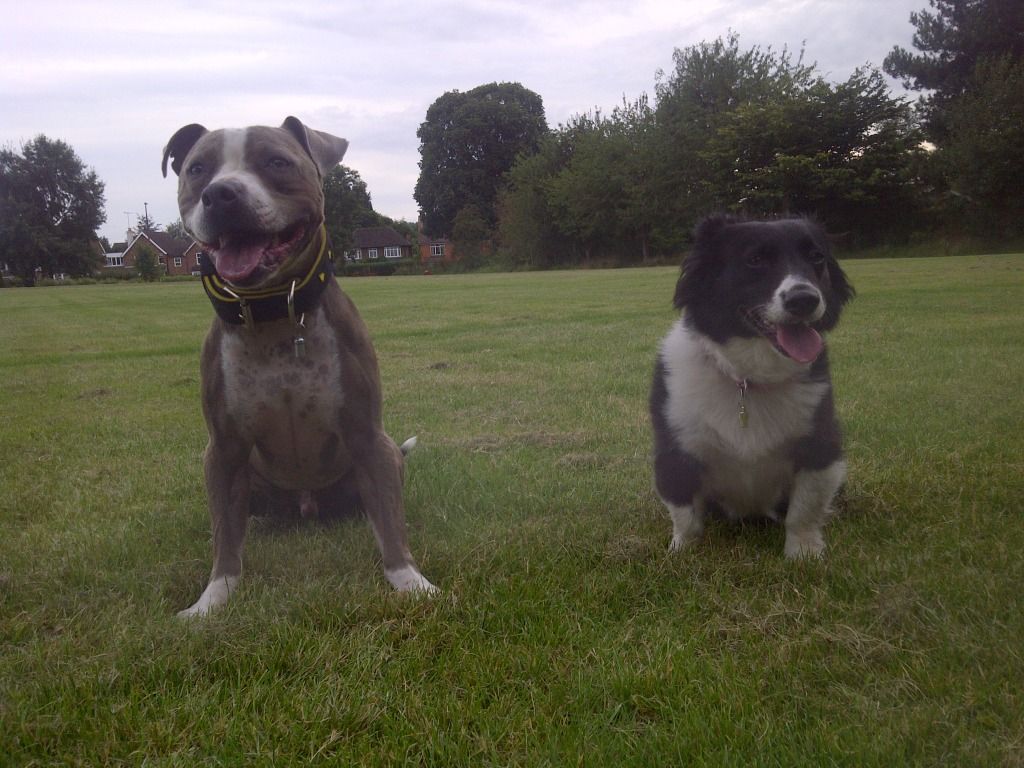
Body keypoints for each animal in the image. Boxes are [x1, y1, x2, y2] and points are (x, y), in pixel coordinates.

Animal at [647, 215, 856, 561]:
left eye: (816, 257)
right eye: (755, 260)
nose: (804, 299)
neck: (746, 378)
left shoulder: (819, 448)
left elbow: (804, 510)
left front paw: (803, 552)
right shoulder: (676, 452)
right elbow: (685, 516)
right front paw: (683, 553)